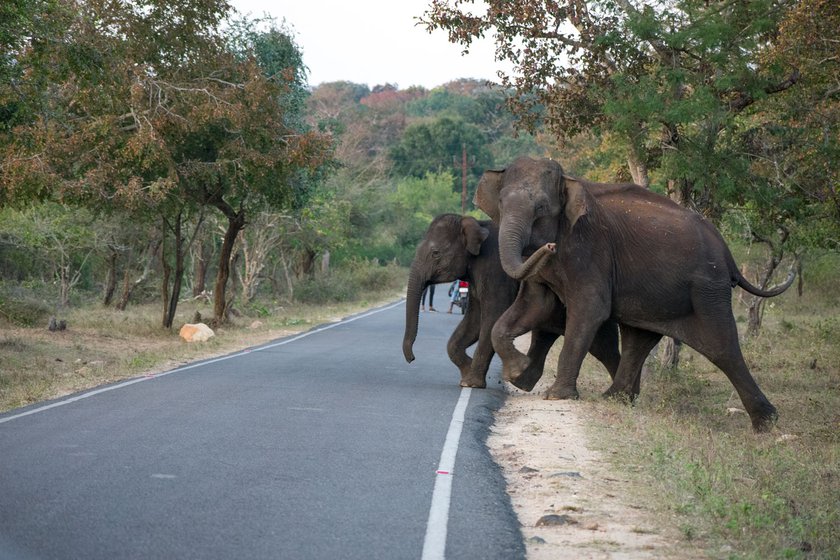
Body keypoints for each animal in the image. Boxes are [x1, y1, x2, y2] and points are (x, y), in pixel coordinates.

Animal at [404, 213, 620, 390]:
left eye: (435, 253)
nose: (412, 359)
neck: (477, 224)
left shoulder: (495, 272)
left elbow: (491, 317)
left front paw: (471, 383)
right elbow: (473, 321)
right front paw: (466, 373)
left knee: (600, 345)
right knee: (602, 345)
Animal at [480, 158, 796, 434]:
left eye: (542, 207)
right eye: (500, 203)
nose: (548, 247)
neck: (570, 182)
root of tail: (727, 253)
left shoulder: (591, 247)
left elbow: (590, 309)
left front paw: (556, 396)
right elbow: (534, 305)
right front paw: (518, 372)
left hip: (708, 288)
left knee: (721, 347)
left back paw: (766, 424)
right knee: (639, 339)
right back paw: (614, 398)